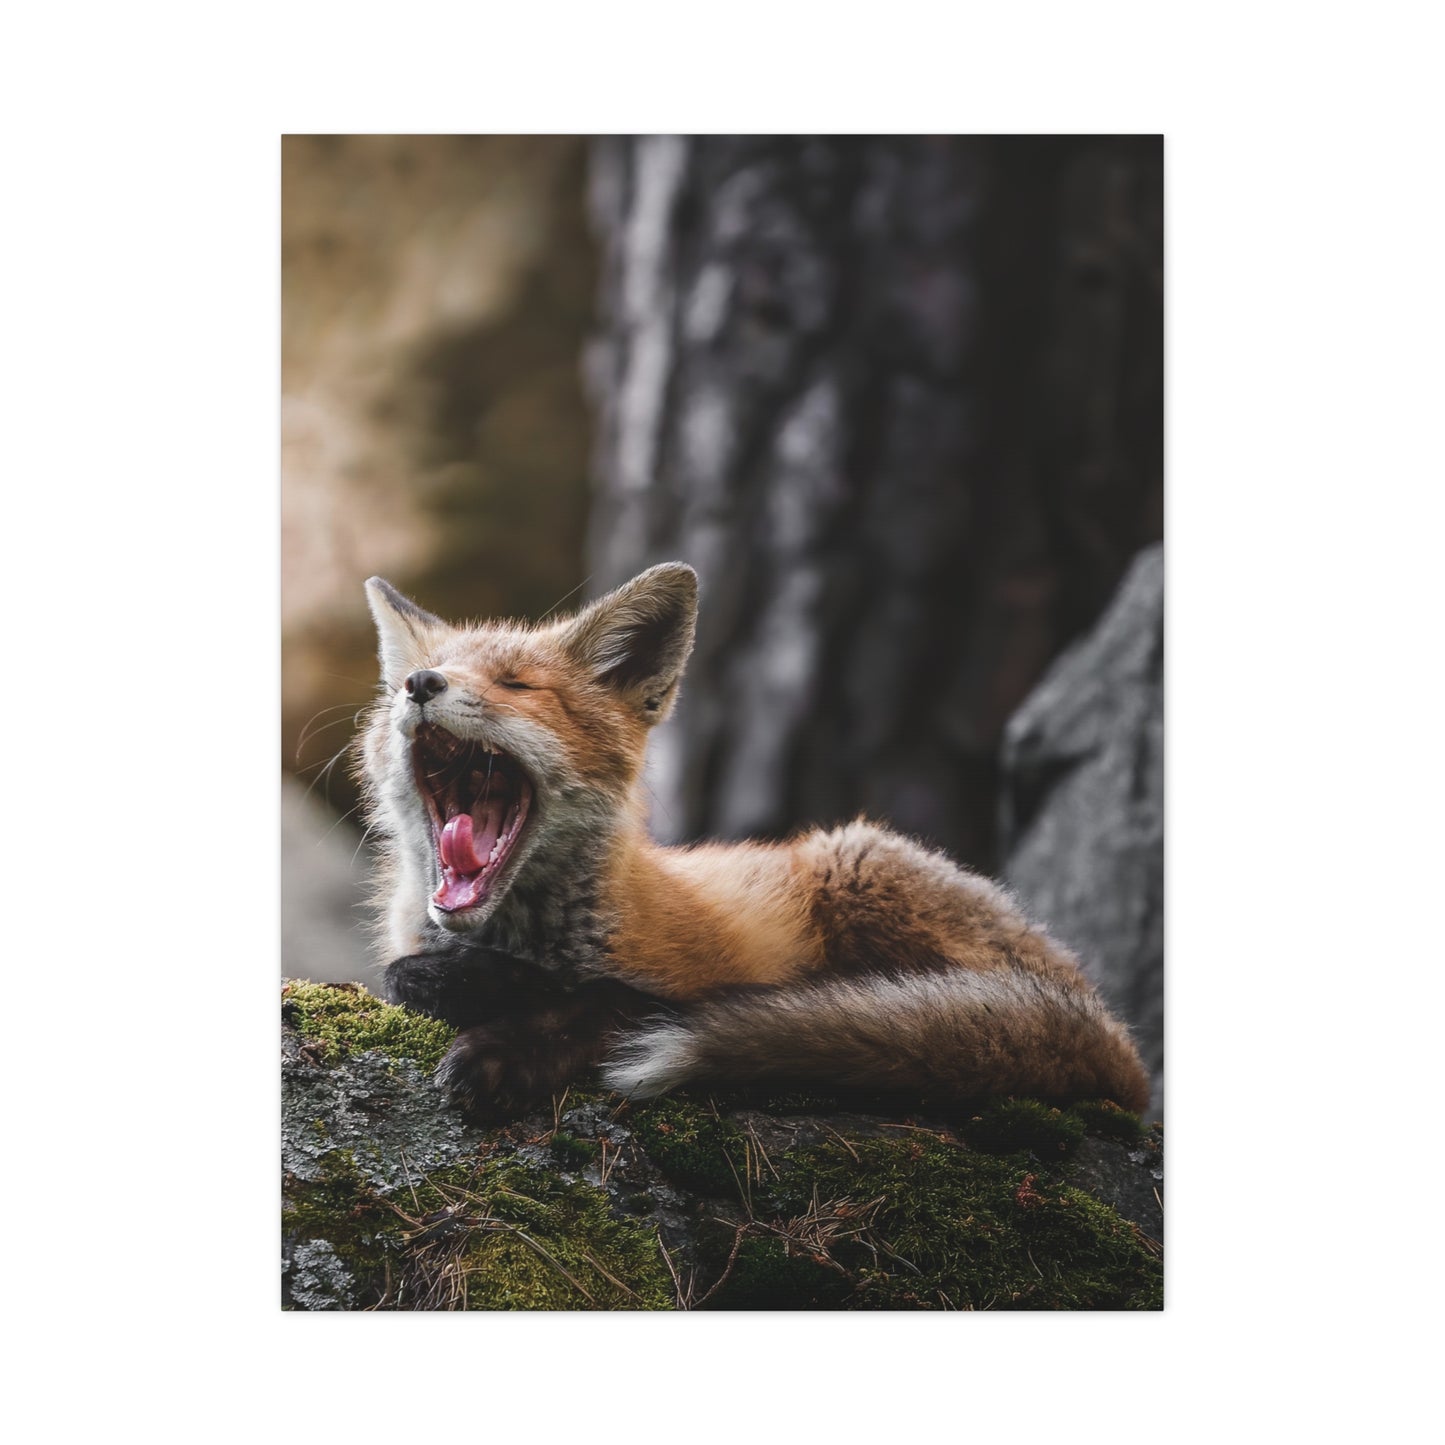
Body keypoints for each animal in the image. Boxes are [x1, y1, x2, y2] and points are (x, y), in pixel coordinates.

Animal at [356, 562, 1151, 1120]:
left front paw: (503, 1043)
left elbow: (614, 1000)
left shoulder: (689, 976)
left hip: (855, 863)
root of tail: (1115, 1034)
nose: (420, 684)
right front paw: (467, 987)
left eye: (517, 685)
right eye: (403, 687)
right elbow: (404, 975)